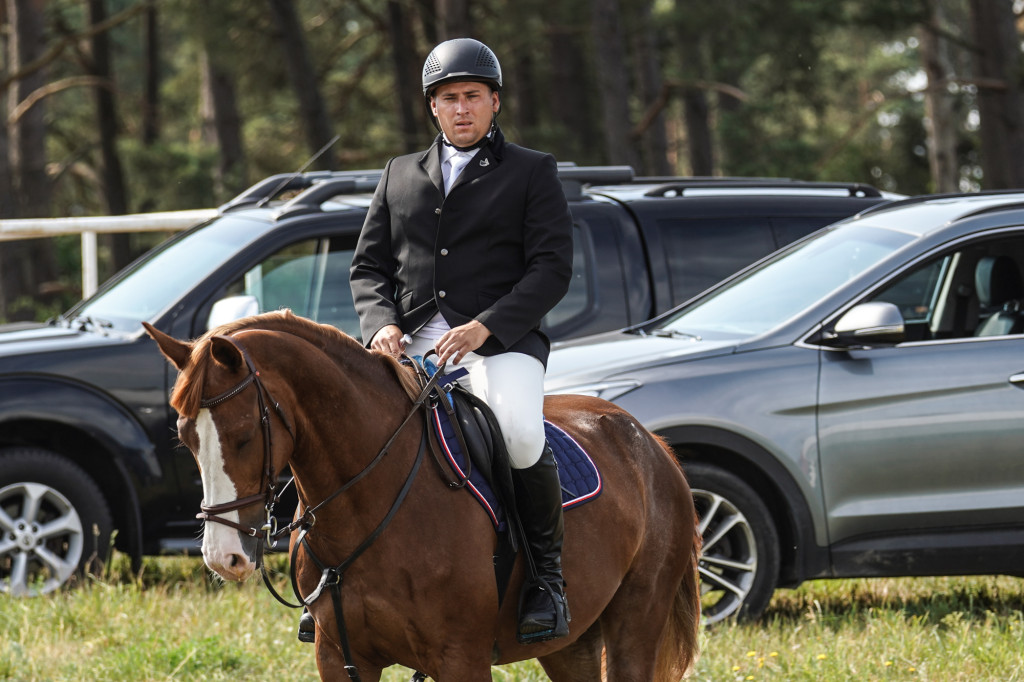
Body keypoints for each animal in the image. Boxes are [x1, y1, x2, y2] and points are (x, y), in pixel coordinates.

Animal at [146, 311, 704, 675]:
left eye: (243, 436)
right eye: (185, 438)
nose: (224, 558)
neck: (370, 502)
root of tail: (649, 442)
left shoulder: (461, 658)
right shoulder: (341, 657)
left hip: (634, 625)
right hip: (571, 645)